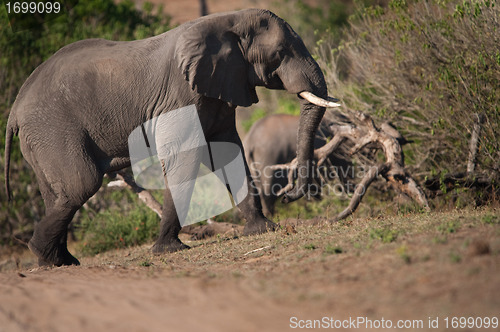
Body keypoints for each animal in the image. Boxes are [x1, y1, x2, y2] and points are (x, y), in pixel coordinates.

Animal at [3, 9, 340, 266]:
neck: (228, 21)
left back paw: (58, 261)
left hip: (41, 140)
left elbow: (228, 153)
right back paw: (46, 256)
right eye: (279, 54)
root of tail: (14, 110)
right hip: (54, 130)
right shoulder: (182, 95)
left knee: (57, 194)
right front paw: (169, 249)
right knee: (80, 185)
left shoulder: (218, 89)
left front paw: (263, 230)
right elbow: (185, 159)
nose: (290, 195)